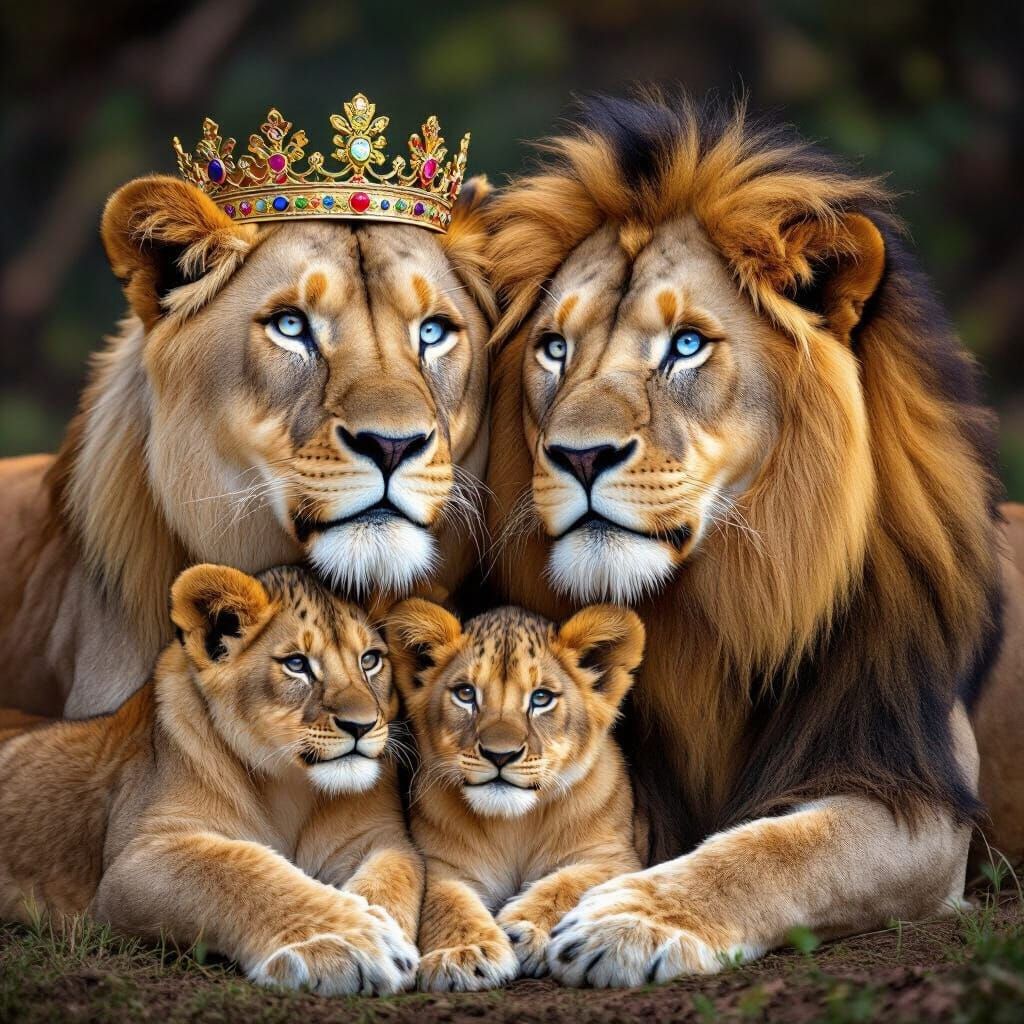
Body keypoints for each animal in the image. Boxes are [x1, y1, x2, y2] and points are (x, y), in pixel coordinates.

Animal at [0, 562, 423, 995]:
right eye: (297, 664)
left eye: (370, 660)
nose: (361, 725)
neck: (291, 785)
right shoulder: (132, 863)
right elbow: (237, 871)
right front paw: (348, 943)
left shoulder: (378, 837)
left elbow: (396, 876)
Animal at [386, 599, 644, 990]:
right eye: (466, 694)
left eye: (541, 698)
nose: (500, 754)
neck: (514, 826)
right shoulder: (444, 865)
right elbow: (448, 903)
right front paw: (463, 955)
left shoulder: (615, 857)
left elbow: (568, 882)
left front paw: (523, 931)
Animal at [482, 90, 1024, 986]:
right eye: (553, 348)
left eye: (686, 345)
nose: (579, 456)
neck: (715, 605)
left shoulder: (916, 794)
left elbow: (779, 849)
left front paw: (632, 919)